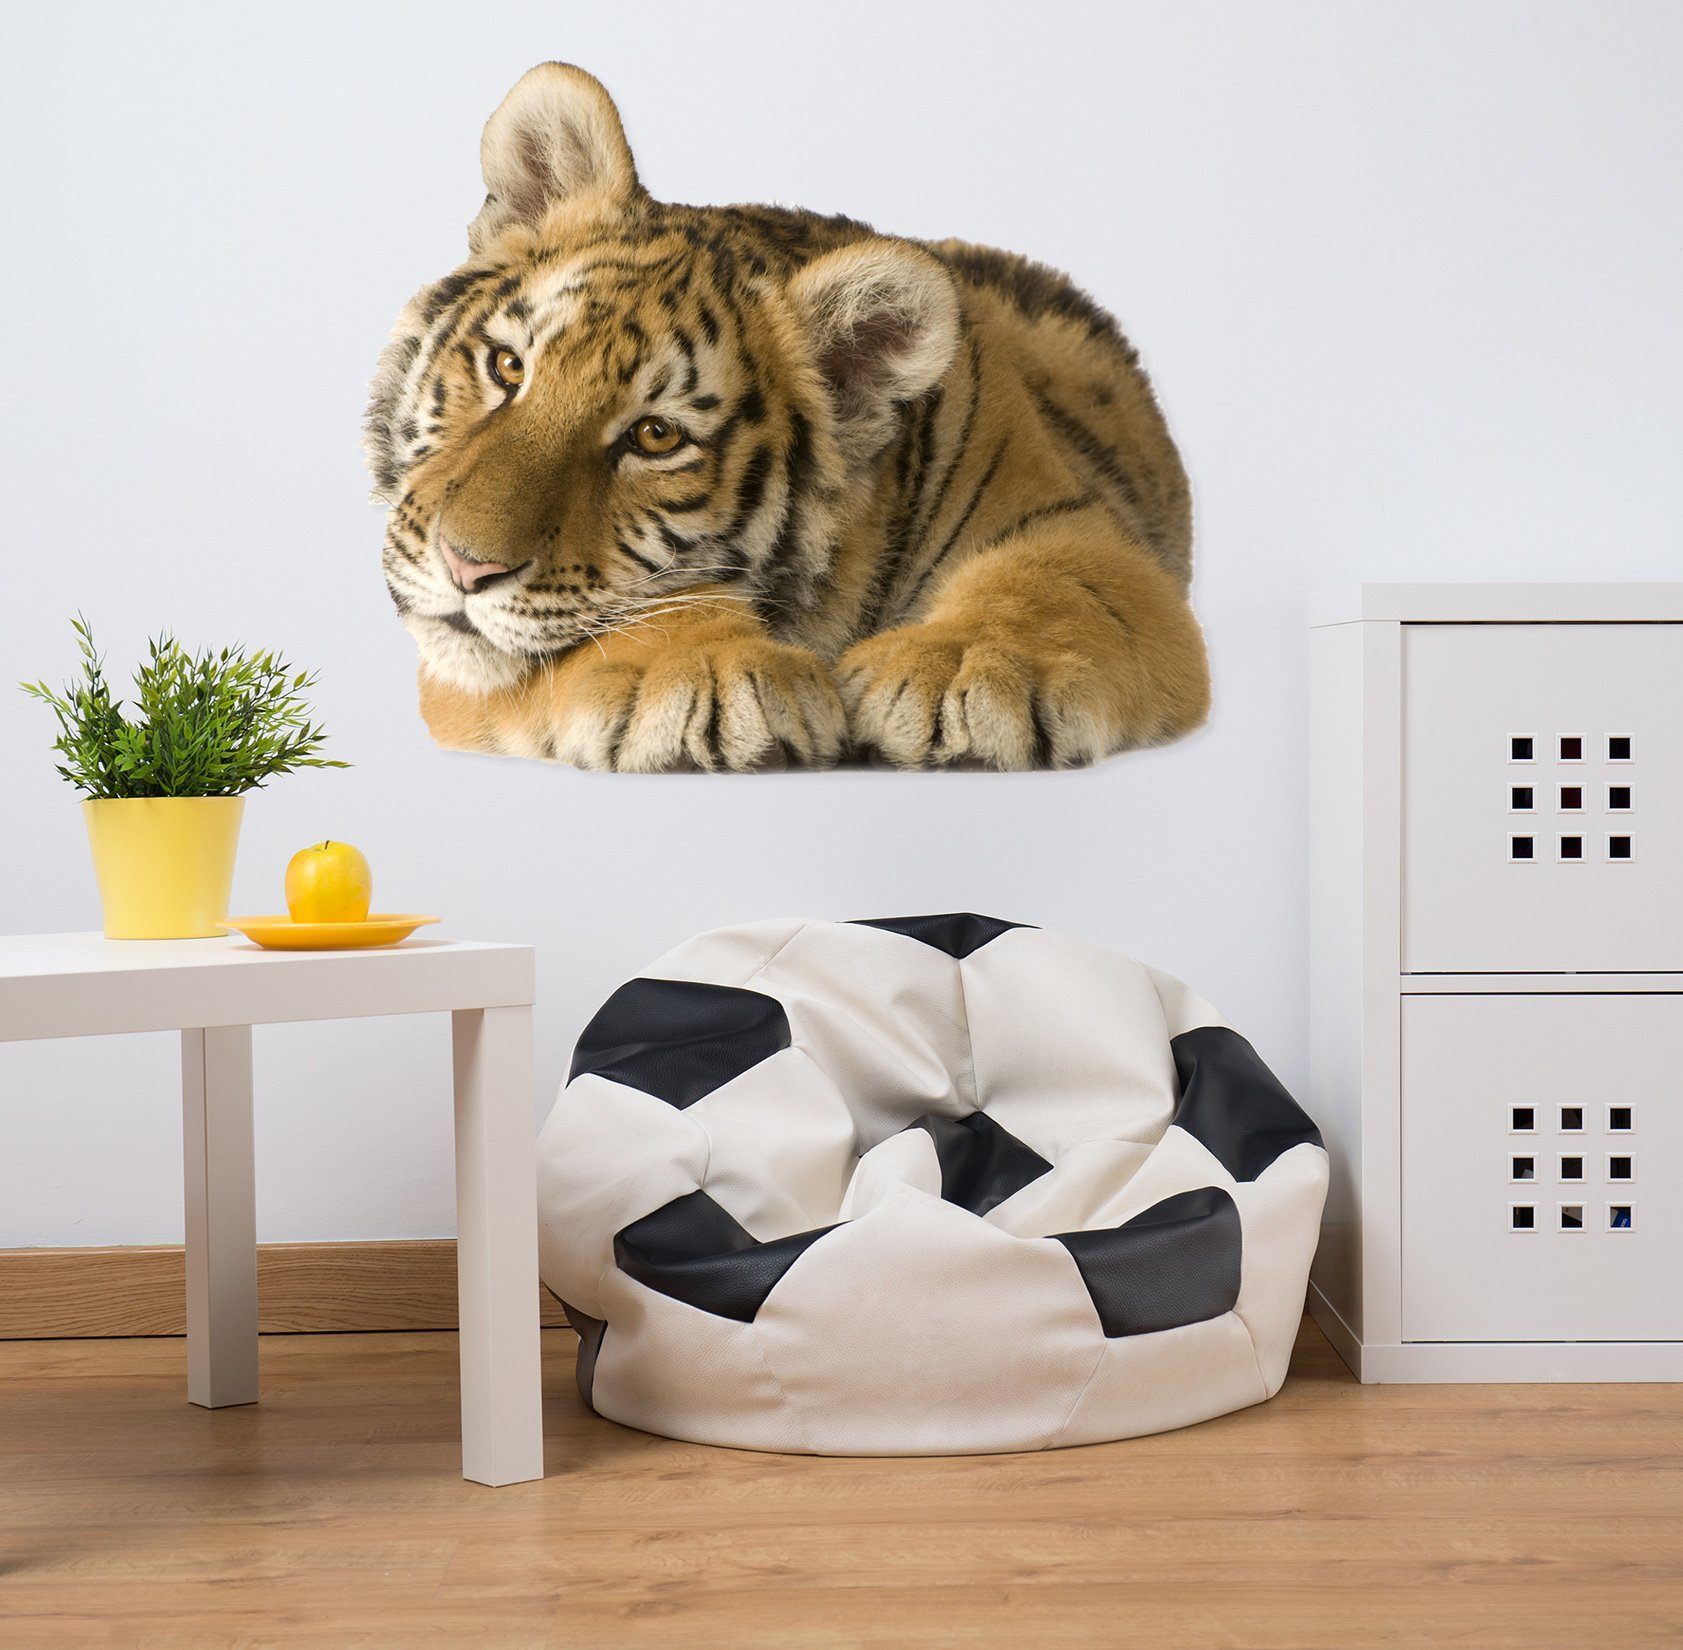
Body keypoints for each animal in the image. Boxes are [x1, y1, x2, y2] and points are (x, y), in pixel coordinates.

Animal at [365, 62, 1209, 771]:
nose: (465, 568)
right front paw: (710, 672)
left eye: (656, 436)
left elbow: (1055, 588)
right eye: (507, 367)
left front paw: (961, 669)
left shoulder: (1083, 532)